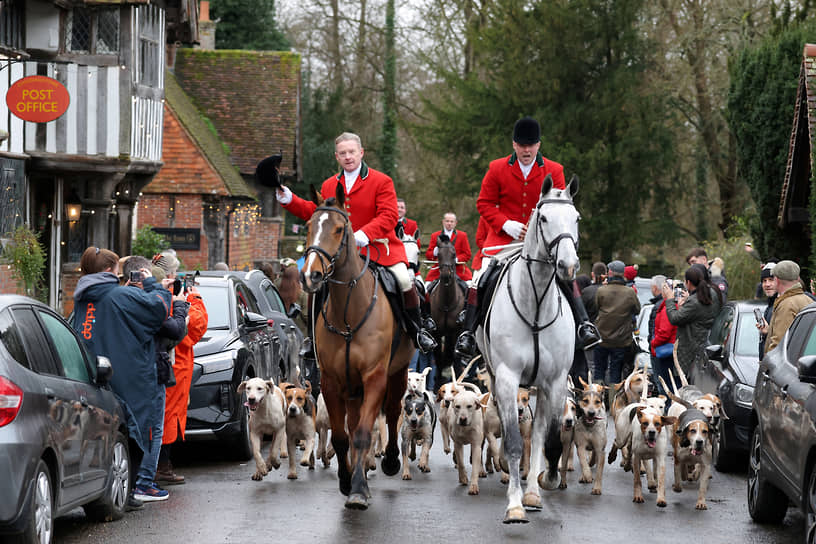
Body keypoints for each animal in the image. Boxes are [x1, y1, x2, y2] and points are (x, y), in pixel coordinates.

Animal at [300, 183, 414, 510]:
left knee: (391, 412)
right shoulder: (331, 381)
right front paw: (346, 480)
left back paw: (389, 461)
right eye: (308, 226)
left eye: (339, 229)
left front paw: (359, 490)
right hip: (352, 390)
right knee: (351, 426)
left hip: (397, 373)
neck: (349, 311)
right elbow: (342, 436)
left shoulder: (375, 377)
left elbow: (364, 433)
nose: (310, 275)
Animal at [428, 234, 466, 382]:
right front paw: (438, 380)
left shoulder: (454, 332)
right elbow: (439, 357)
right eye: (438, 255)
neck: (446, 303)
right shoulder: (436, 332)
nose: (445, 275)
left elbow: (451, 356)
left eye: (454, 254)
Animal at [474, 175, 584, 524]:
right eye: (544, 218)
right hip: (497, 378)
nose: (568, 266)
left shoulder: (556, 381)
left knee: (537, 434)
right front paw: (515, 505)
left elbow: (547, 438)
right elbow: (511, 441)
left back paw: (533, 488)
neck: (535, 303)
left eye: (576, 218)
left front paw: (543, 484)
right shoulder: (509, 378)